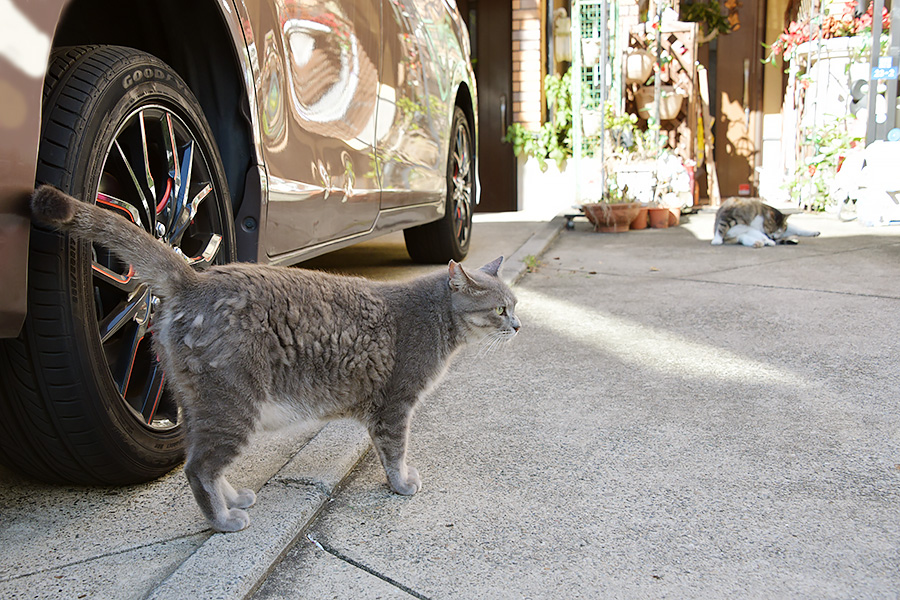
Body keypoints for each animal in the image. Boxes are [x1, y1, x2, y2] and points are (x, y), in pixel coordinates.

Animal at [31, 185, 520, 532]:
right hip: (233, 405)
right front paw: (401, 484)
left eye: (514, 305)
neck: (434, 315)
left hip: (201, 404)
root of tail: (194, 278)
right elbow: (394, 452)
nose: (518, 326)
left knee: (204, 460)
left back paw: (232, 498)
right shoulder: (395, 407)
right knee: (198, 468)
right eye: (500, 309)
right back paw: (224, 520)